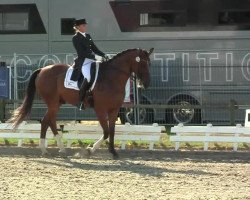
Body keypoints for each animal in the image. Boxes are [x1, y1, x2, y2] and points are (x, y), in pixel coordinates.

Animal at [8, 47, 153, 159]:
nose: (146, 84)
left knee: (50, 121)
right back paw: (44, 149)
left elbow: (111, 131)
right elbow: (106, 132)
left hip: (57, 103)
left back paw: (61, 148)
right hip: (53, 102)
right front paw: (90, 150)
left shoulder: (114, 109)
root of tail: (42, 69)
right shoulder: (100, 109)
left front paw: (113, 152)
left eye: (149, 64)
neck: (112, 77)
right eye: (143, 64)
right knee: (45, 121)